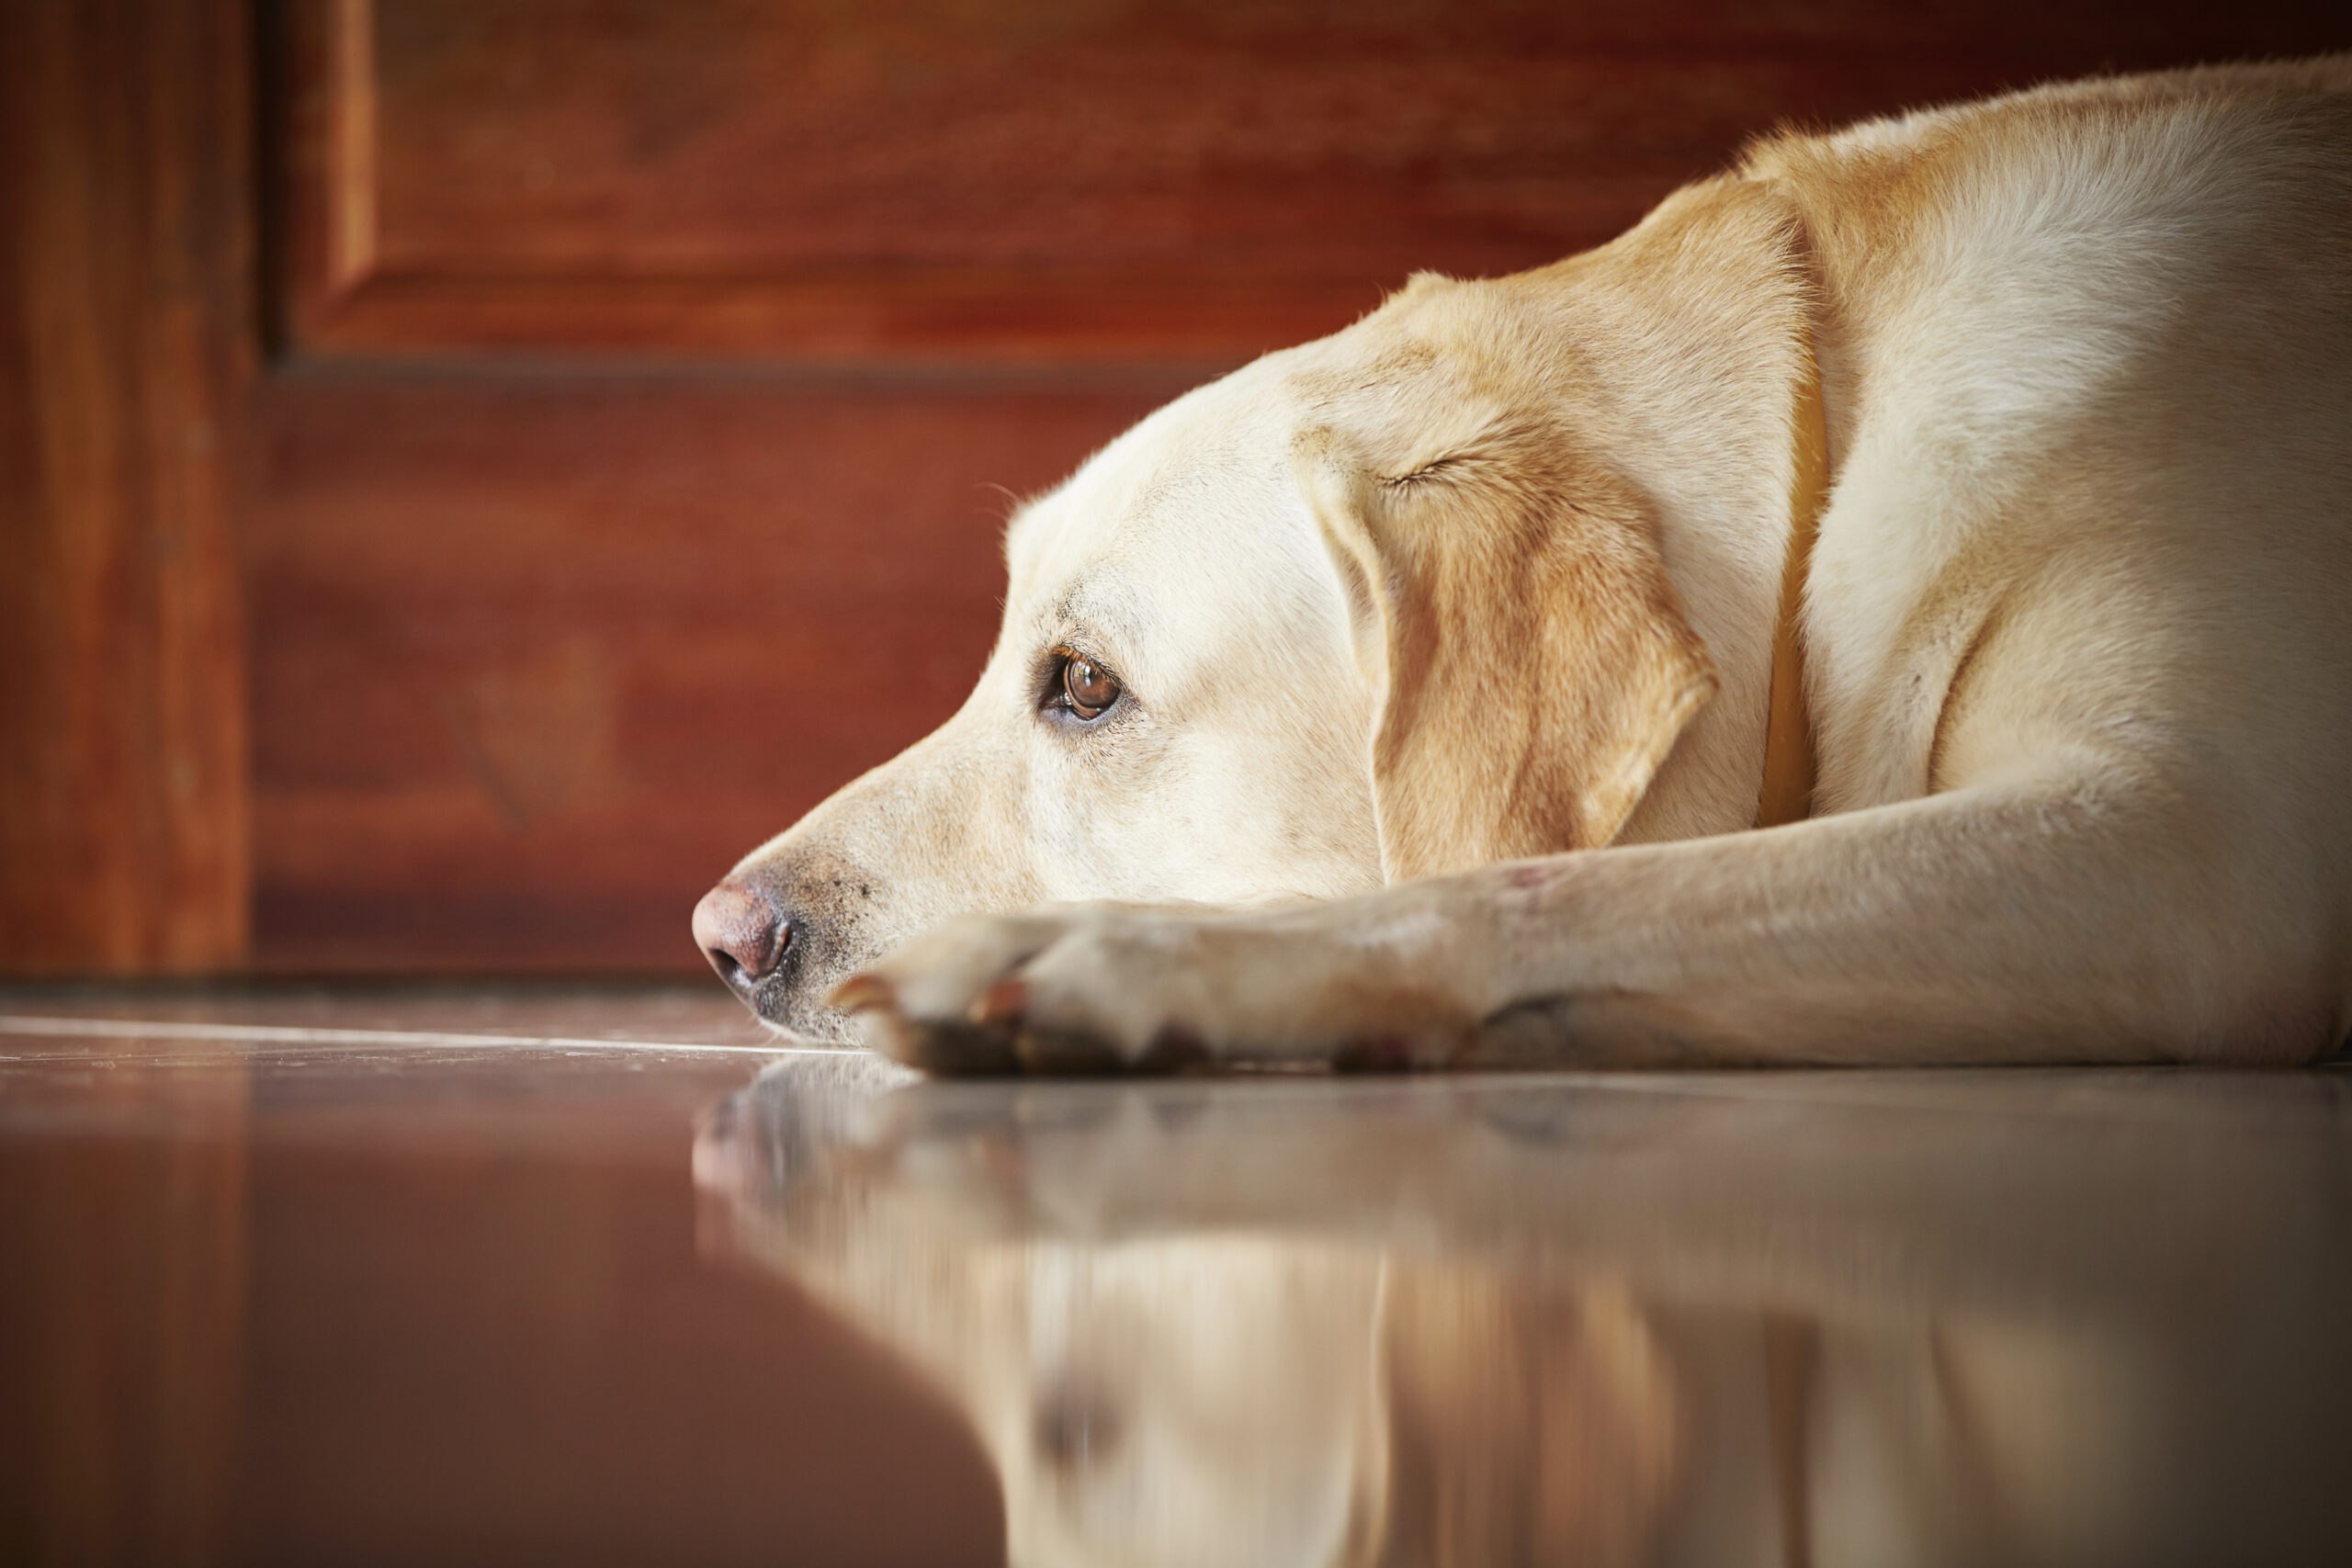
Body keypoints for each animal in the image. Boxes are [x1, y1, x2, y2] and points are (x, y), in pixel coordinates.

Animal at [686, 58, 2352, 1066]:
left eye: (1085, 686)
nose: (723, 936)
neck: (1834, 400)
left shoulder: (2177, 845)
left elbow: (1555, 882)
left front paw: (1130, 962)